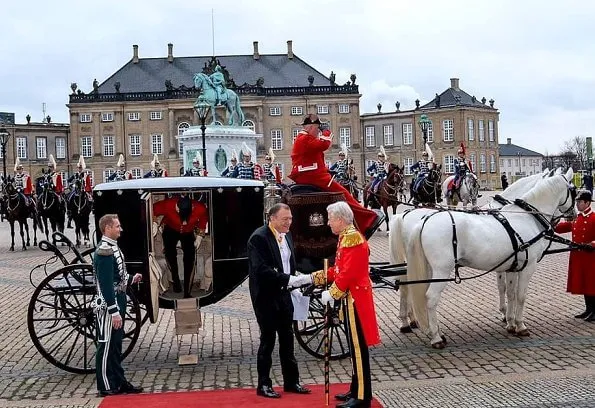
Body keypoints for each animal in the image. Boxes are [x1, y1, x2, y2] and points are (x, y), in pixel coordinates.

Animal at [408, 169, 576, 348]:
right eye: (573, 190)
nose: (573, 214)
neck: (526, 217)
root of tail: (424, 221)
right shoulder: (528, 267)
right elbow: (521, 296)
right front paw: (520, 325)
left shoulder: (512, 267)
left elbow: (510, 293)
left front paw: (510, 322)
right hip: (442, 271)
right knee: (431, 298)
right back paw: (436, 337)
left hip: (431, 270)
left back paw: (437, 332)